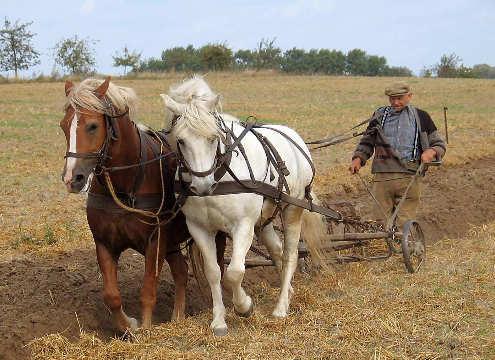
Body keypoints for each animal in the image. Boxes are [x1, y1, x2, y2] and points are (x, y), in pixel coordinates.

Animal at [60, 77, 227, 334]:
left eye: (92, 126)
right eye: (63, 125)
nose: (72, 179)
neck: (126, 184)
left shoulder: (155, 241)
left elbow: (148, 289)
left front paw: (147, 329)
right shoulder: (104, 243)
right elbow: (111, 296)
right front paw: (129, 326)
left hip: (213, 234)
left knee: (216, 268)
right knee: (181, 271)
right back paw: (178, 317)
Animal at [161, 76, 328, 338]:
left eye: (213, 138)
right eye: (181, 140)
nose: (203, 185)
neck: (220, 175)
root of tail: (294, 137)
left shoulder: (243, 225)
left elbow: (234, 272)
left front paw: (244, 306)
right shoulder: (199, 228)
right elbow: (213, 272)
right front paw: (219, 321)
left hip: (292, 209)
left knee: (290, 254)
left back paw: (281, 307)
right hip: (264, 220)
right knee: (277, 251)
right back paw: (288, 291)